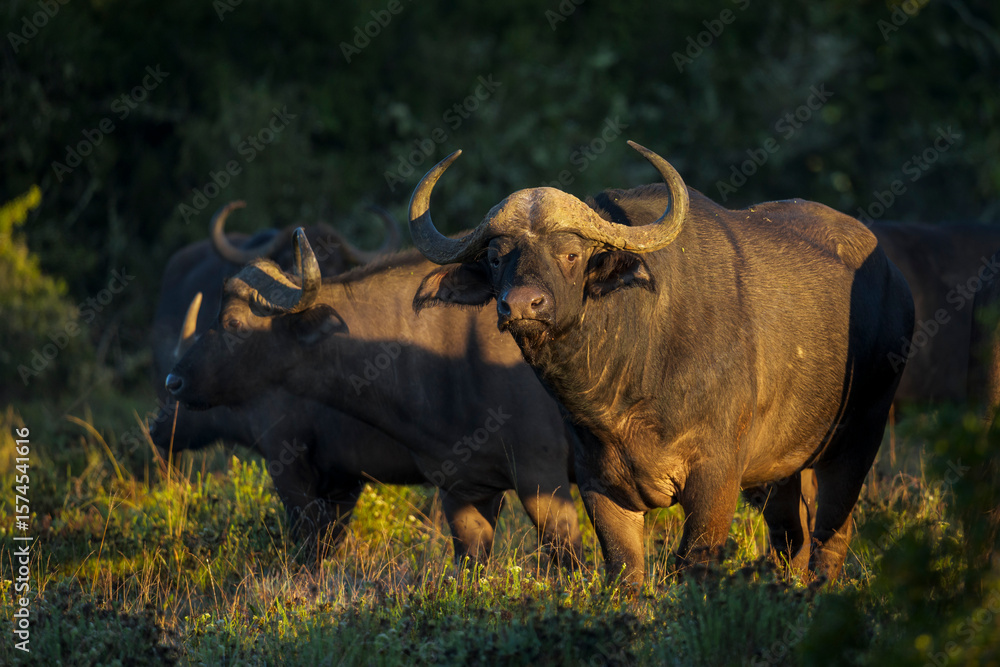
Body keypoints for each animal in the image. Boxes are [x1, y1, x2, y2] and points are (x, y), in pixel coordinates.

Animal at [406, 142, 914, 585]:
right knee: (793, 538)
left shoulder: (715, 476)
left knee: (832, 534)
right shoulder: (598, 484)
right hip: (780, 470)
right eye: (495, 258)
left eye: (571, 254)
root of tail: (894, 278)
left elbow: (693, 562)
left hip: (858, 439)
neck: (626, 386)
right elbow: (625, 570)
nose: (521, 305)